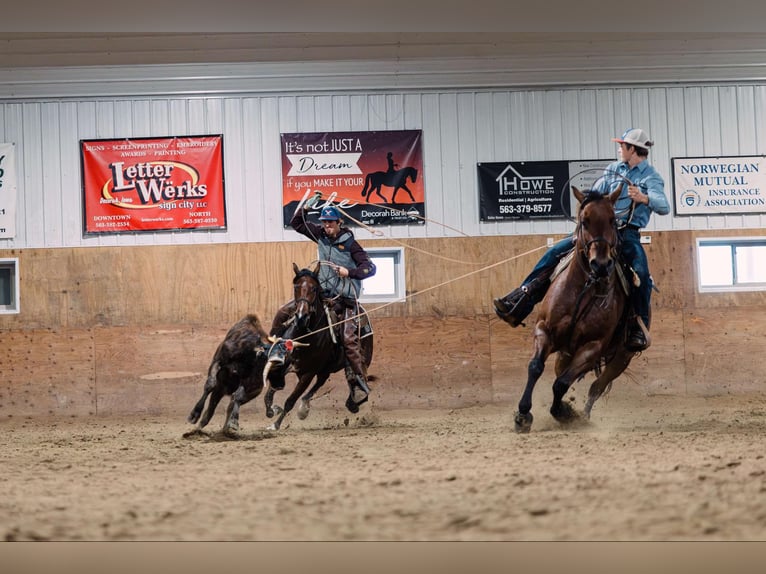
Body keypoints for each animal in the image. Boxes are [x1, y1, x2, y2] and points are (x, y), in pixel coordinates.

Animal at [262, 264, 376, 430]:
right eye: (296, 287)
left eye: (314, 288)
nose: (301, 316)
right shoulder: (285, 367)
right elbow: (271, 392)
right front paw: (272, 410)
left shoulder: (308, 373)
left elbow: (290, 401)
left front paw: (275, 425)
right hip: (324, 368)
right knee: (320, 381)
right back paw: (305, 406)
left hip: (359, 356)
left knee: (353, 373)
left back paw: (356, 397)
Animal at [512, 187, 640, 434]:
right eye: (584, 221)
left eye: (612, 219)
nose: (601, 265)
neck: (583, 288)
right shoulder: (544, 330)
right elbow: (535, 367)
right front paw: (523, 415)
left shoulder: (592, 347)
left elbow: (561, 383)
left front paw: (563, 412)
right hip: (565, 353)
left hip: (621, 357)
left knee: (596, 386)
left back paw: (582, 415)